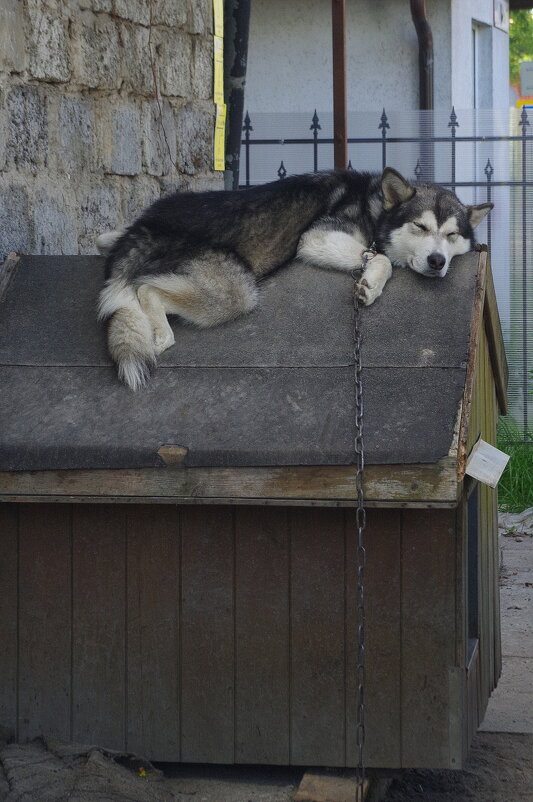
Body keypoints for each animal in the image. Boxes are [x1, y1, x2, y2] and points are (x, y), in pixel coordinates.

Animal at [96, 167, 490, 390]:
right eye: (420, 227)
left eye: (452, 235)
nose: (437, 261)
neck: (374, 207)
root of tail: (145, 229)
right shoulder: (316, 238)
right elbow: (381, 258)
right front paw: (371, 283)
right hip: (234, 292)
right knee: (146, 288)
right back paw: (160, 332)